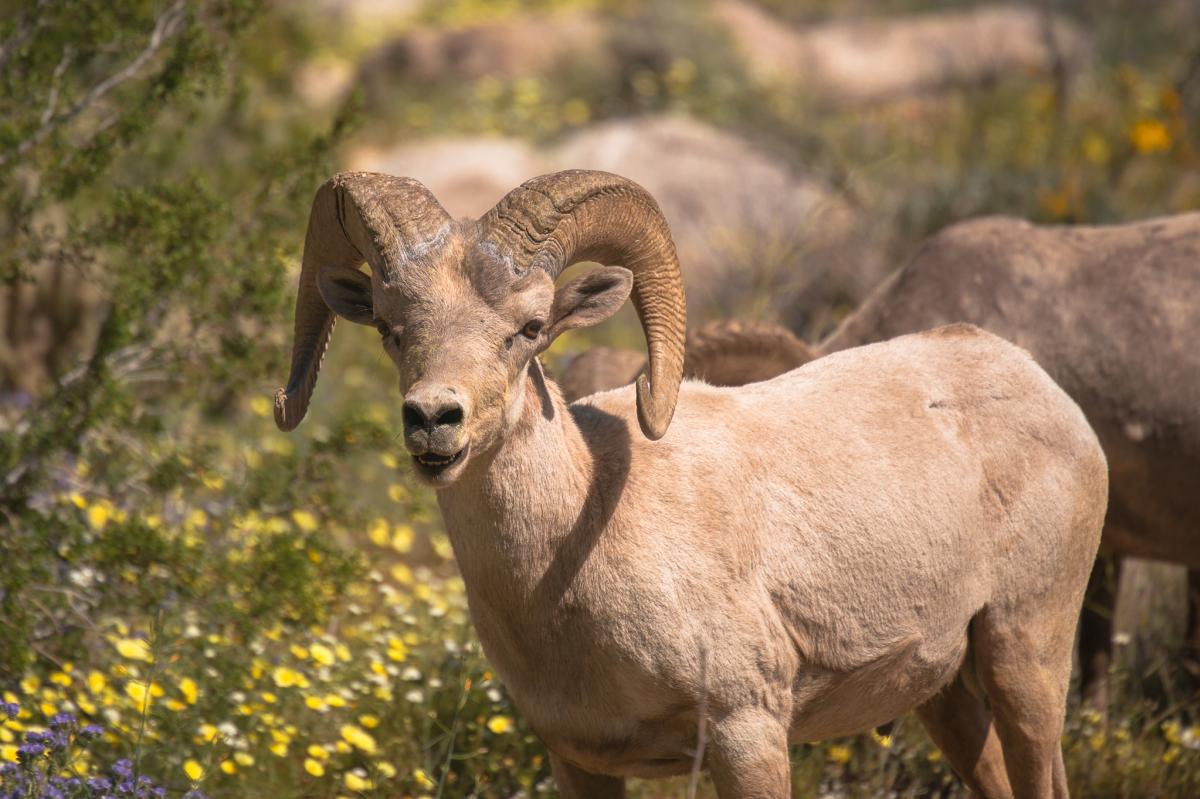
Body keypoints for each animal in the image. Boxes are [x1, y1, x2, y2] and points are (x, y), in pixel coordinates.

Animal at [275, 170, 1108, 797]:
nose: (433, 421)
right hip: (948, 693)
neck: (563, 571)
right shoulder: (581, 763)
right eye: (391, 329)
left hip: (1025, 656)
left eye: (530, 328)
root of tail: (1036, 383)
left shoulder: (748, 734)